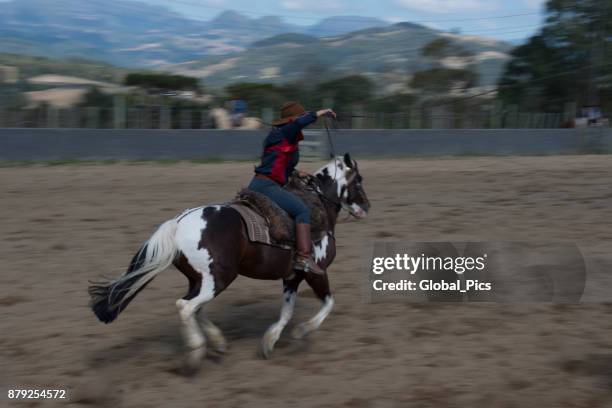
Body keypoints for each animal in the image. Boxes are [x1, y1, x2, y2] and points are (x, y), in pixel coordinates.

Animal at [88, 152, 370, 370]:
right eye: (359, 180)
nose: (366, 206)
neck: (318, 204)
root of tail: (178, 223)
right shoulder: (315, 271)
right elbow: (328, 303)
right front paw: (302, 331)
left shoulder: (292, 276)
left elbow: (287, 311)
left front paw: (269, 341)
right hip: (218, 278)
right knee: (186, 307)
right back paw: (196, 352)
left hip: (200, 279)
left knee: (195, 307)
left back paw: (217, 341)